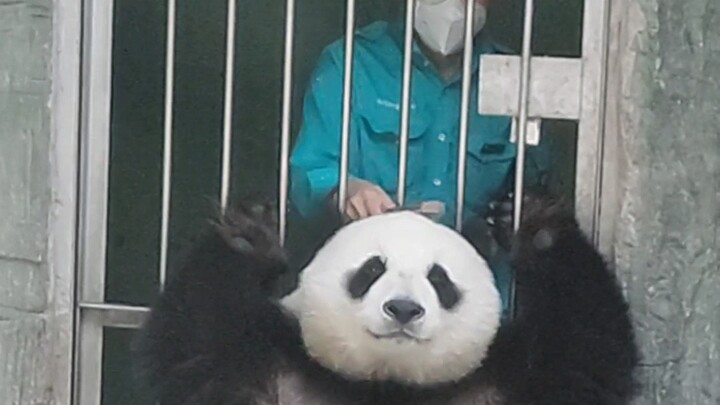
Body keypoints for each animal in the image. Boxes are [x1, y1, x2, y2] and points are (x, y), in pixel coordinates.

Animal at [132, 193, 639, 405]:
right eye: (372, 269)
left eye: (439, 279)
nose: (403, 309)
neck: (388, 381)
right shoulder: (265, 368)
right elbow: (200, 336)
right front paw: (248, 237)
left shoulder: (517, 380)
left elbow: (585, 345)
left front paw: (533, 225)